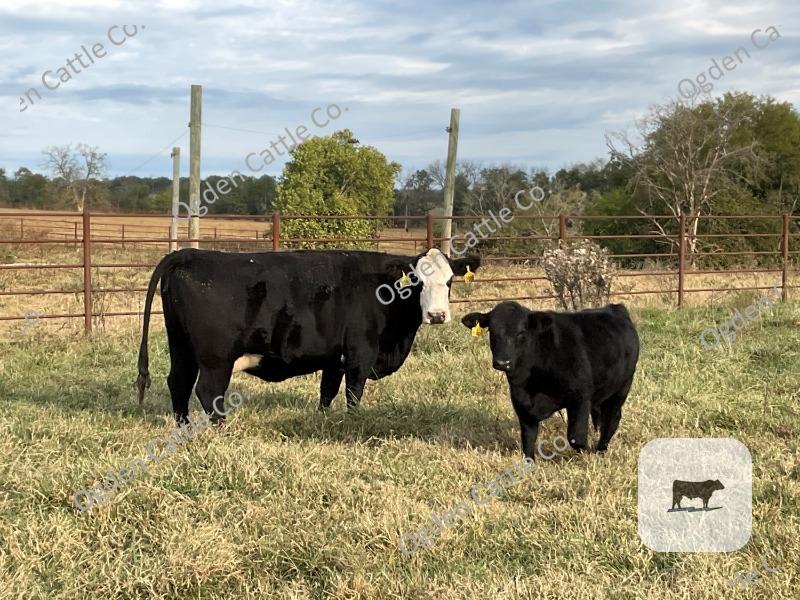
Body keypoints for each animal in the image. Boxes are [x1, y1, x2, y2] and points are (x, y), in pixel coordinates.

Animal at [136, 247, 480, 423]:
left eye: (450, 281)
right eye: (417, 281)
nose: (437, 315)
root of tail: (193, 252)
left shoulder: (334, 358)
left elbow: (327, 393)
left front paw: (324, 421)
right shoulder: (360, 354)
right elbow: (353, 394)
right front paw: (352, 423)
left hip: (180, 344)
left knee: (178, 383)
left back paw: (183, 427)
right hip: (215, 357)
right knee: (208, 391)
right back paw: (221, 428)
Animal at [461, 301, 639, 460]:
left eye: (521, 333)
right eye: (492, 331)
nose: (503, 362)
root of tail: (615, 307)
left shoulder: (580, 397)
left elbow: (576, 438)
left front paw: (588, 454)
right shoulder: (521, 404)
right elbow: (528, 439)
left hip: (622, 387)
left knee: (612, 419)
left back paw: (600, 450)